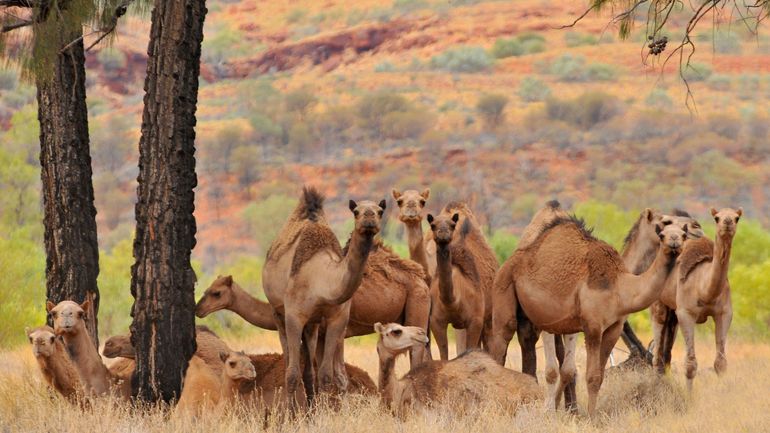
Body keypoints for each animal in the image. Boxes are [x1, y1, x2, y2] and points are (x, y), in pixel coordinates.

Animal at [486, 216, 684, 416]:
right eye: (661, 234)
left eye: (683, 234)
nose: (674, 241)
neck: (620, 286)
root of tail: (509, 261)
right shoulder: (593, 327)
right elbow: (591, 376)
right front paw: (589, 416)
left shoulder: (614, 328)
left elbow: (598, 376)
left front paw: (587, 414)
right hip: (503, 287)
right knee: (501, 342)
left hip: (529, 317)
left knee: (527, 341)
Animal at [656, 206, 740, 388]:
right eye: (716, 218)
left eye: (737, 218)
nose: (727, 222)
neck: (704, 289)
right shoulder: (686, 313)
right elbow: (690, 364)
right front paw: (689, 395)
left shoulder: (724, 313)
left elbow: (720, 363)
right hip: (658, 304)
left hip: (673, 313)